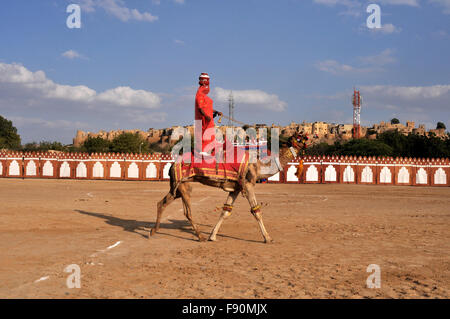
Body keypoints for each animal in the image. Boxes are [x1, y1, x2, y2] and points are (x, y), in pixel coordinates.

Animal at [149, 134, 308, 244]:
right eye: (299, 138)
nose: (308, 140)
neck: (259, 165)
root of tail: (172, 165)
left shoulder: (236, 188)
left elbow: (225, 211)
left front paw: (213, 236)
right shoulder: (248, 184)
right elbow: (256, 211)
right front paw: (268, 238)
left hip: (177, 187)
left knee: (161, 203)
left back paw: (153, 231)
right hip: (184, 186)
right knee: (187, 211)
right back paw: (200, 236)